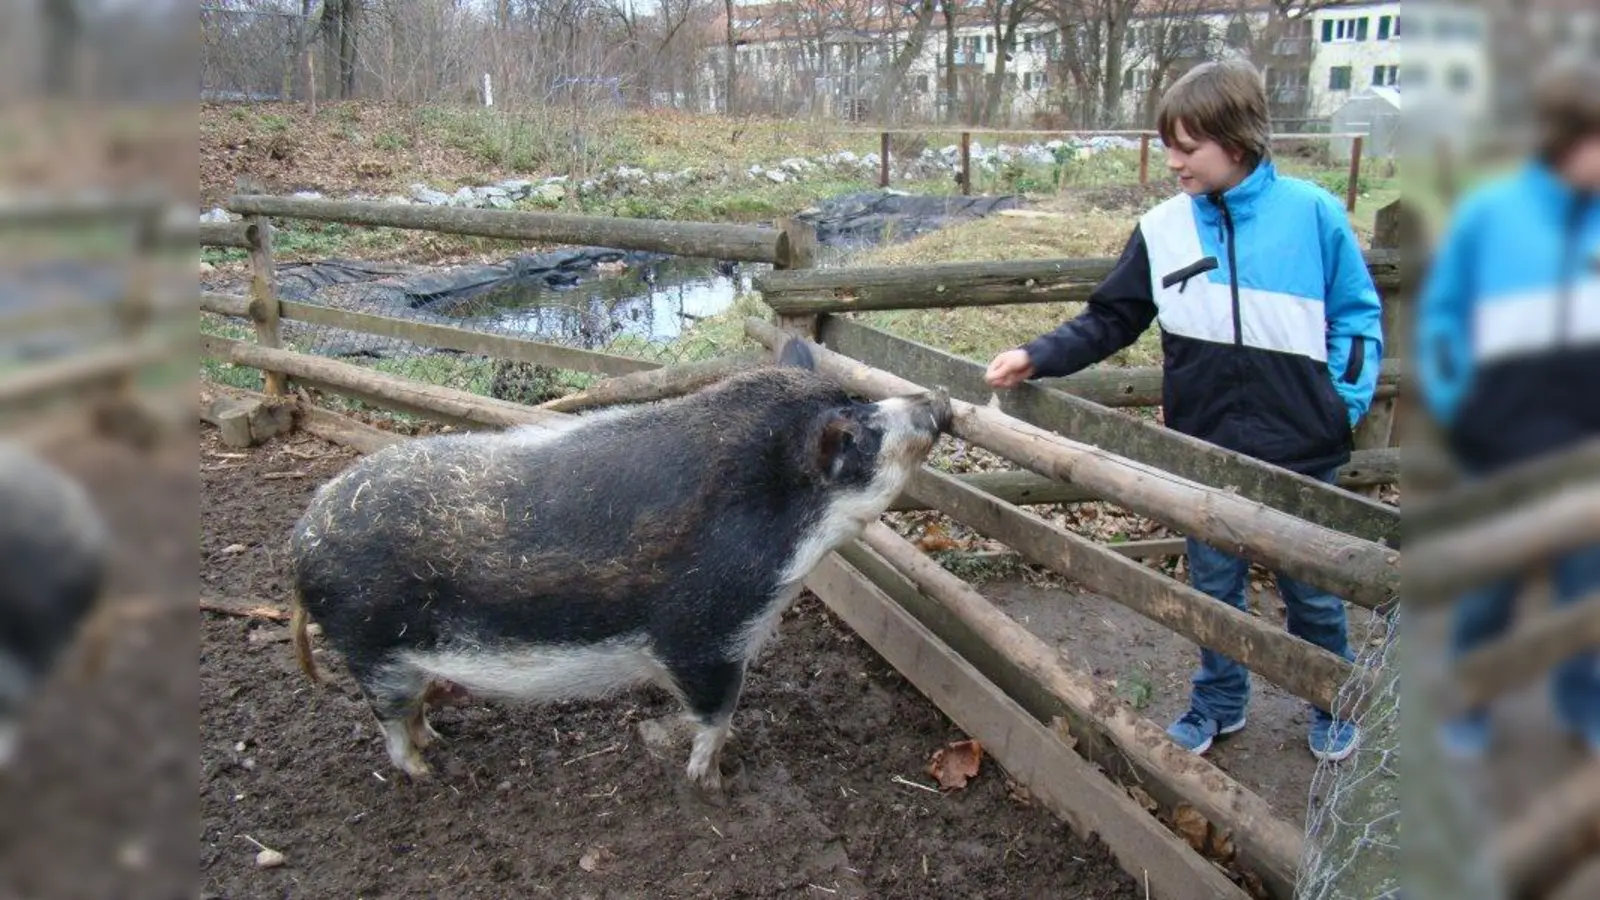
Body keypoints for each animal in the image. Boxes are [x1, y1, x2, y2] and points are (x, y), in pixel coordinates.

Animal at [288, 338, 950, 791]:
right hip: (369, 647)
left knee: (413, 708)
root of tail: (301, 541)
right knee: (389, 721)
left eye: (862, 402)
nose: (939, 401)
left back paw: (439, 738)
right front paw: (710, 781)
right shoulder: (701, 635)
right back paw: (425, 770)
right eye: (861, 435)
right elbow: (715, 714)